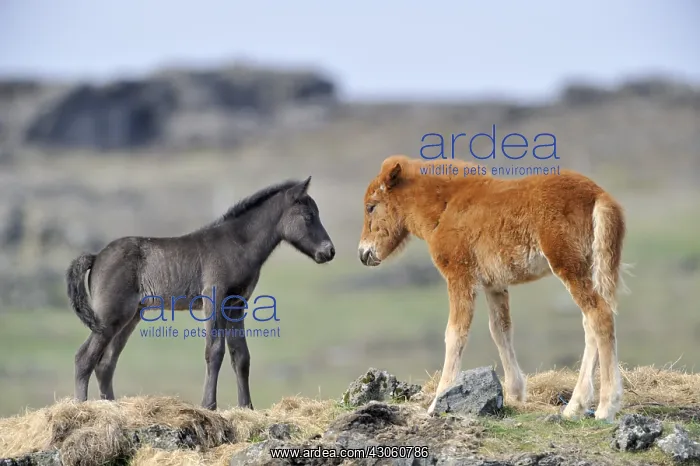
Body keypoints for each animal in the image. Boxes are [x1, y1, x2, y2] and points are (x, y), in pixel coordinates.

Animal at [66, 176, 335, 410]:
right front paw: (209, 405)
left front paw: (246, 406)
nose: (329, 251)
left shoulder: (236, 305)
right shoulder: (214, 299)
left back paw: (111, 406)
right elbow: (214, 351)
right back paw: (80, 408)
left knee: (106, 363)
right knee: (84, 357)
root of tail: (96, 257)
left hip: (130, 316)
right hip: (110, 316)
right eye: (309, 216)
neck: (237, 244)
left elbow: (241, 356)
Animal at [357, 155, 629, 422]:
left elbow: (455, 334)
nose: (363, 254)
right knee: (590, 323)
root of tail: (599, 195)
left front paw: (437, 403)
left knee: (599, 315)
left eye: (371, 206)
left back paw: (606, 407)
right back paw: (575, 406)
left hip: (569, 265)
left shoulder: (459, 277)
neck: (446, 206)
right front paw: (515, 394)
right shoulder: (494, 284)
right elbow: (500, 330)